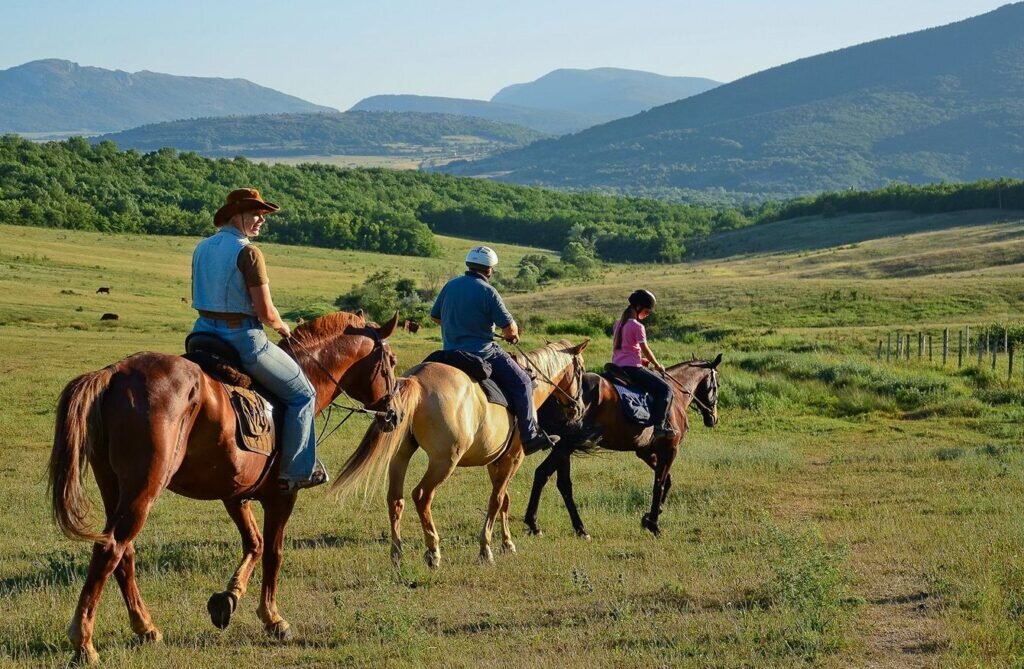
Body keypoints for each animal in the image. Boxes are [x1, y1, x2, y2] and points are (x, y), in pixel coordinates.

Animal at [49, 311, 397, 663]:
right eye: (392, 361)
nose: (393, 414)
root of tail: (114, 373)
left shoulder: (235, 494)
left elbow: (254, 544)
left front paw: (228, 599)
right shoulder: (282, 494)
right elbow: (273, 553)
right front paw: (273, 618)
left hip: (114, 488)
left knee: (123, 553)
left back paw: (146, 628)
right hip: (143, 490)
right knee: (110, 549)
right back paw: (84, 642)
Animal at [327, 340, 585, 569]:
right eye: (581, 371)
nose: (579, 408)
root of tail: (416, 380)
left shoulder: (496, 461)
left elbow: (504, 499)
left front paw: (507, 543)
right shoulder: (514, 457)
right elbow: (497, 500)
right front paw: (486, 549)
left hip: (401, 456)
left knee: (395, 499)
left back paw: (397, 554)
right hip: (444, 462)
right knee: (421, 495)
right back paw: (433, 551)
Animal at [524, 354, 724, 536]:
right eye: (717, 386)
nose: (713, 418)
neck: (676, 395)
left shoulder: (645, 451)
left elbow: (667, 481)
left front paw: (648, 517)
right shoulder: (669, 449)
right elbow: (659, 484)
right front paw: (653, 524)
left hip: (564, 446)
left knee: (558, 482)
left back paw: (573, 528)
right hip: (565, 446)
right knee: (545, 475)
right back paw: (539, 524)